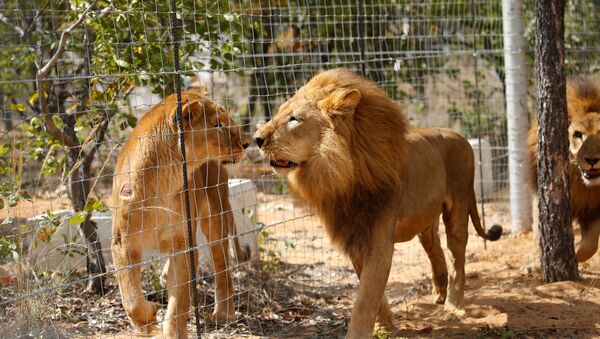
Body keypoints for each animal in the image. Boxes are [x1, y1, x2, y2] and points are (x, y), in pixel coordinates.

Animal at [112, 89, 248, 338]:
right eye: (217, 124)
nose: (246, 143)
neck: (166, 179)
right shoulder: (122, 243)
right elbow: (131, 297)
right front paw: (147, 321)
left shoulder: (184, 244)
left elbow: (179, 303)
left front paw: (173, 331)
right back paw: (166, 276)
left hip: (215, 216)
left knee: (222, 266)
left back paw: (224, 313)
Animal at [253, 68, 502, 338]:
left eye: (294, 119)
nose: (256, 139)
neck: (341, 176)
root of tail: (461, 136)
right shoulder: (354, 237)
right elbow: (373, 293)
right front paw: (386, 327)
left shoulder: (379, 240)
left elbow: (365, 298)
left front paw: (360, 332)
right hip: (426, 220)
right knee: (435, 250)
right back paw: (439, 293)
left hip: (458, 204)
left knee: (458, 258)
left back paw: (453, 307)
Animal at [528, 77, 600, 262]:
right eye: (578, 135)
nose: (592, 160)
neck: (586, 187)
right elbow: (539, 233)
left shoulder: (594, 207)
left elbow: (590, 245)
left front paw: (575, 254)